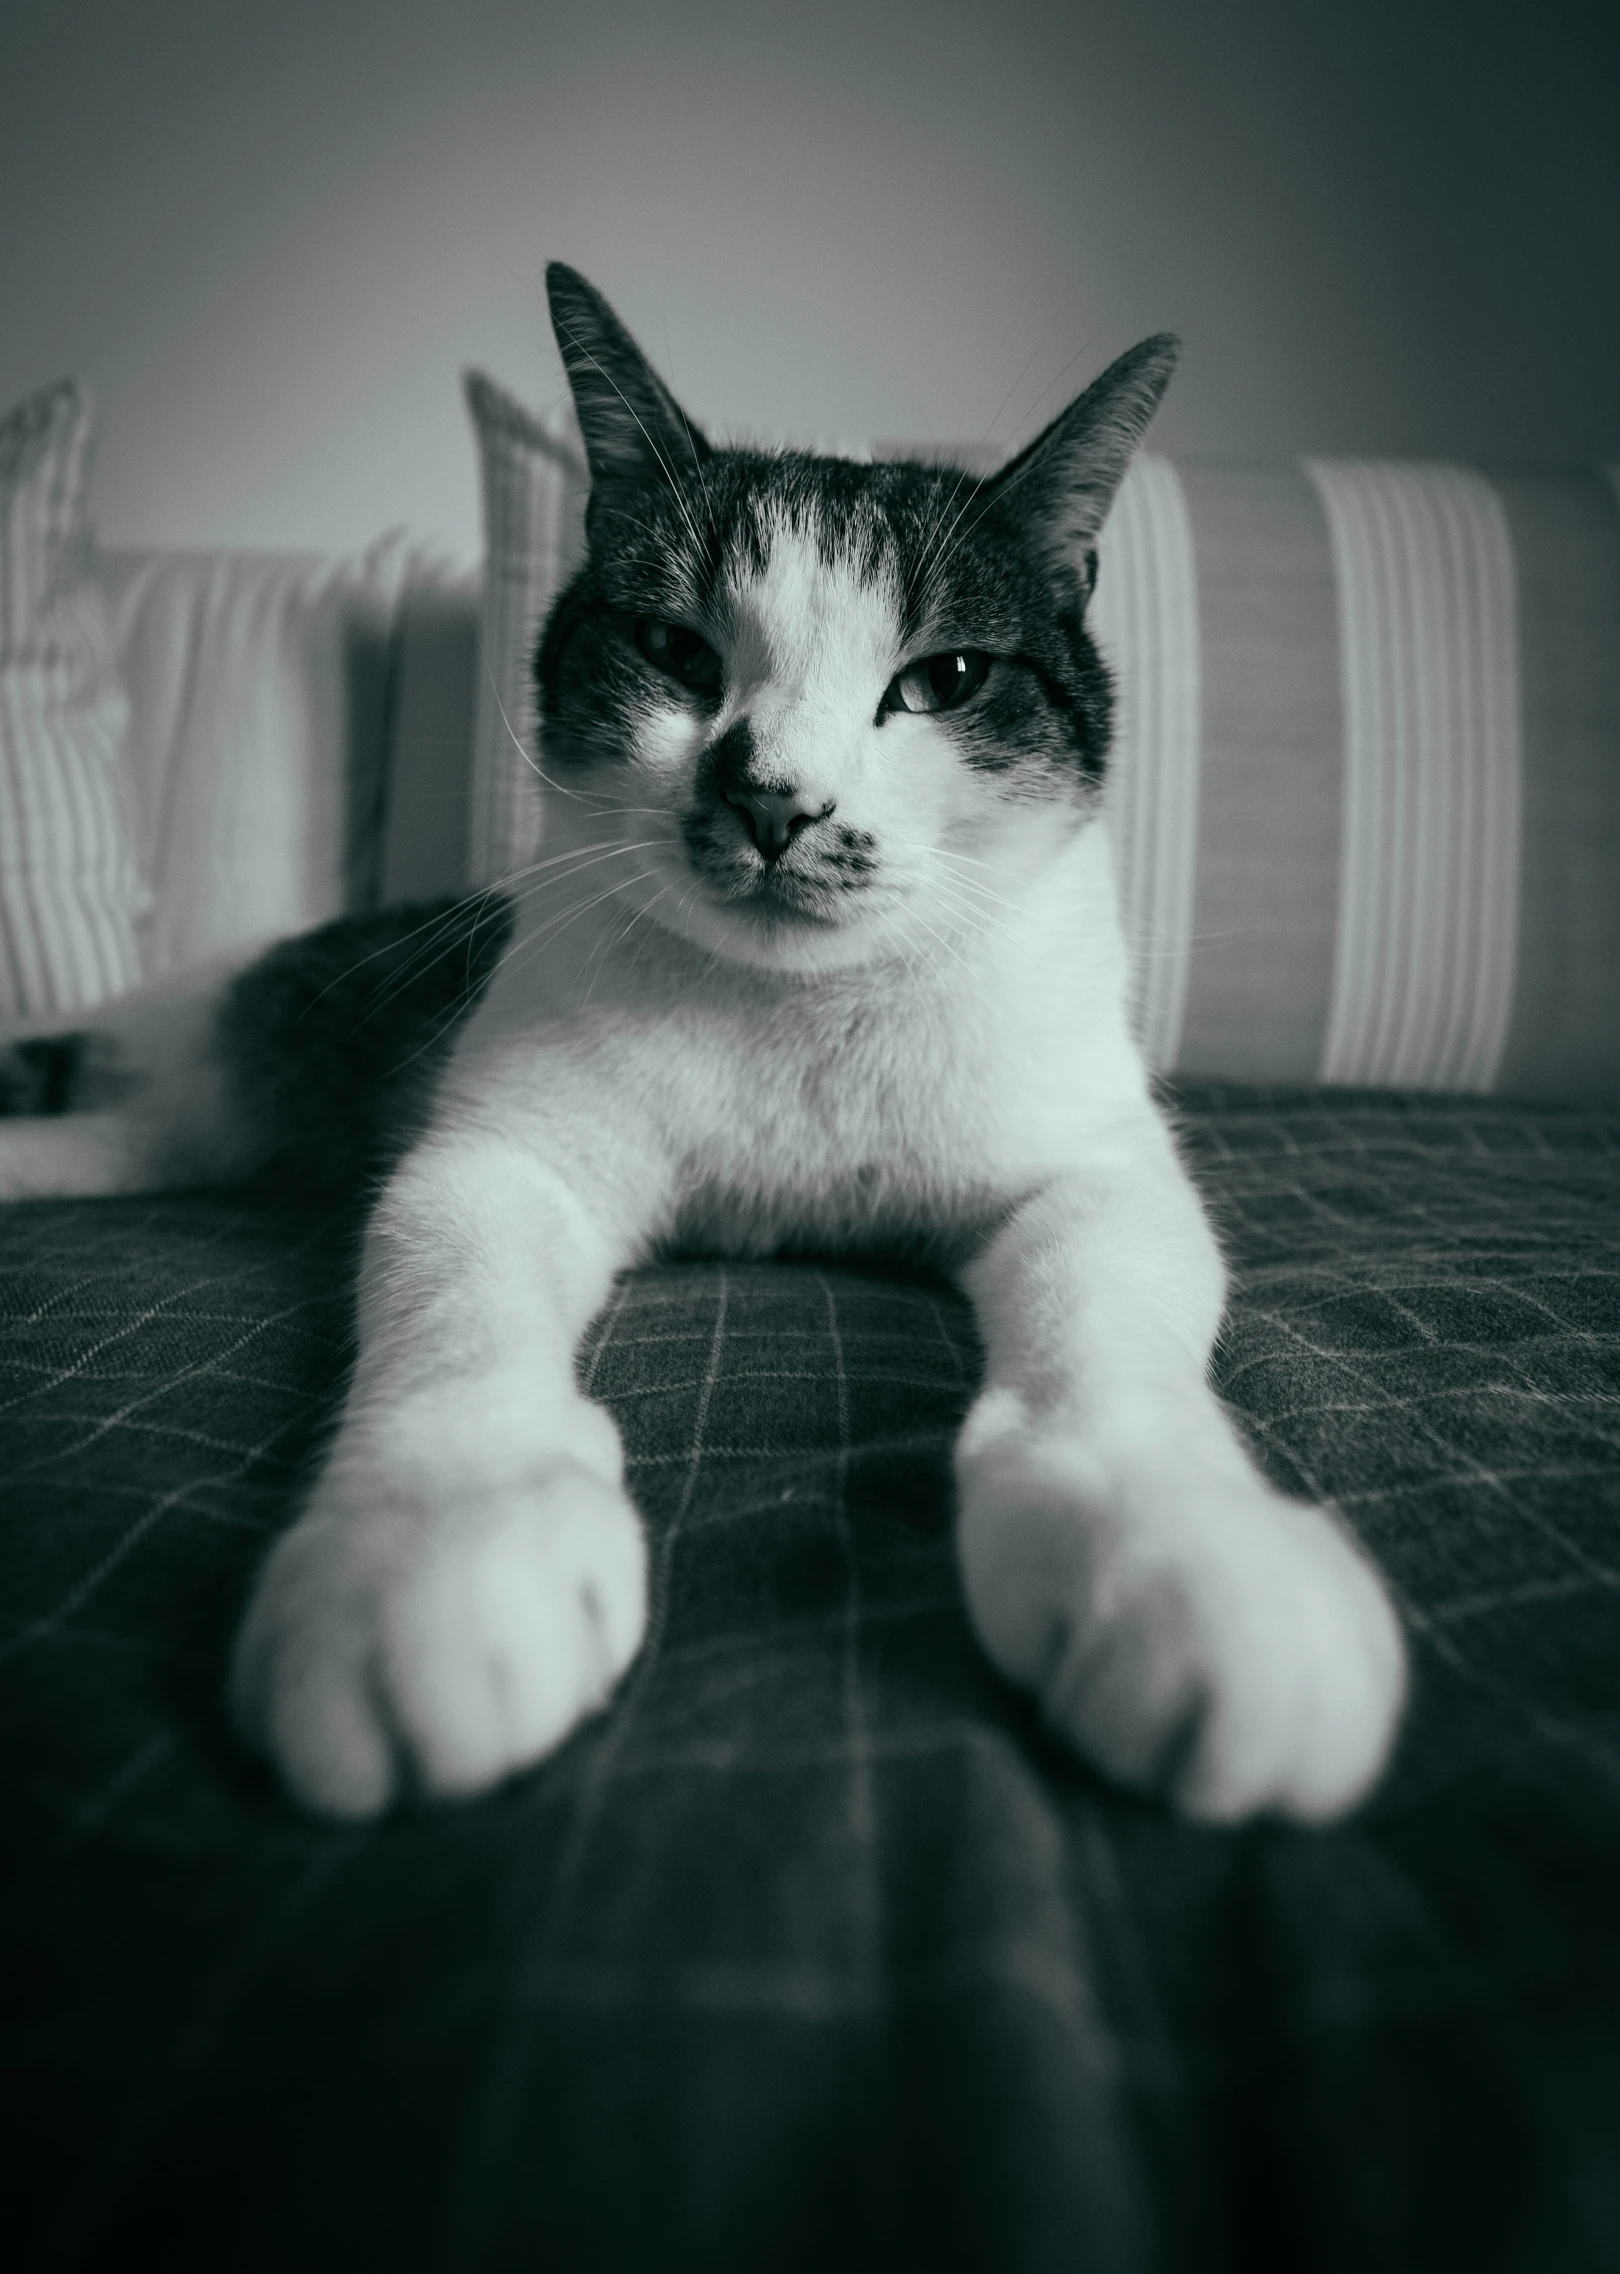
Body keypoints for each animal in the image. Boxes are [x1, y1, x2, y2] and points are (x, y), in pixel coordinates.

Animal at [0, 270, 1401, 1828]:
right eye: (676, 650)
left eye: (944, 678)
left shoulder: (1097, 1171)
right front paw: (436, 1548)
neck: (796, 1022)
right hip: (238, 1052)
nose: (775, 799)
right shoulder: (496, 1157)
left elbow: (1109, 1335)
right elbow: (455, 1313)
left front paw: (1187, 1557)